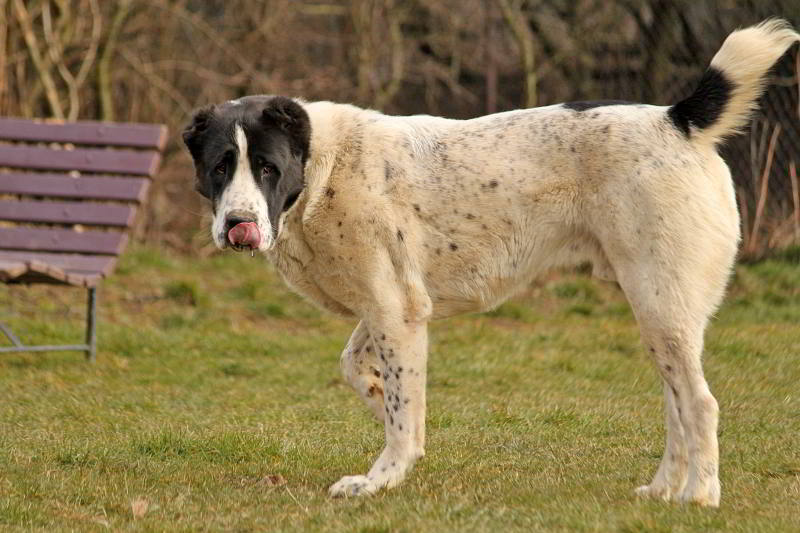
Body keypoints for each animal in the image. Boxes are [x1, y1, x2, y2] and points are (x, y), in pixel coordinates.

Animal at [182, 20, 799, 505]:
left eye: (267, 167)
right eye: (220, 168)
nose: (237, 224)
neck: (321, 172)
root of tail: (678, 119)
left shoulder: (396, 310)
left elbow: (401, 411)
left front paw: (382, 478)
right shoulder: (393, 308)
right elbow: (361, 371)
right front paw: (384, 405)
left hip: (662, 305)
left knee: (701, 404)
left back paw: (700, 495)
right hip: (657, 313)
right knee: (676, 405)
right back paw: (663, 490)